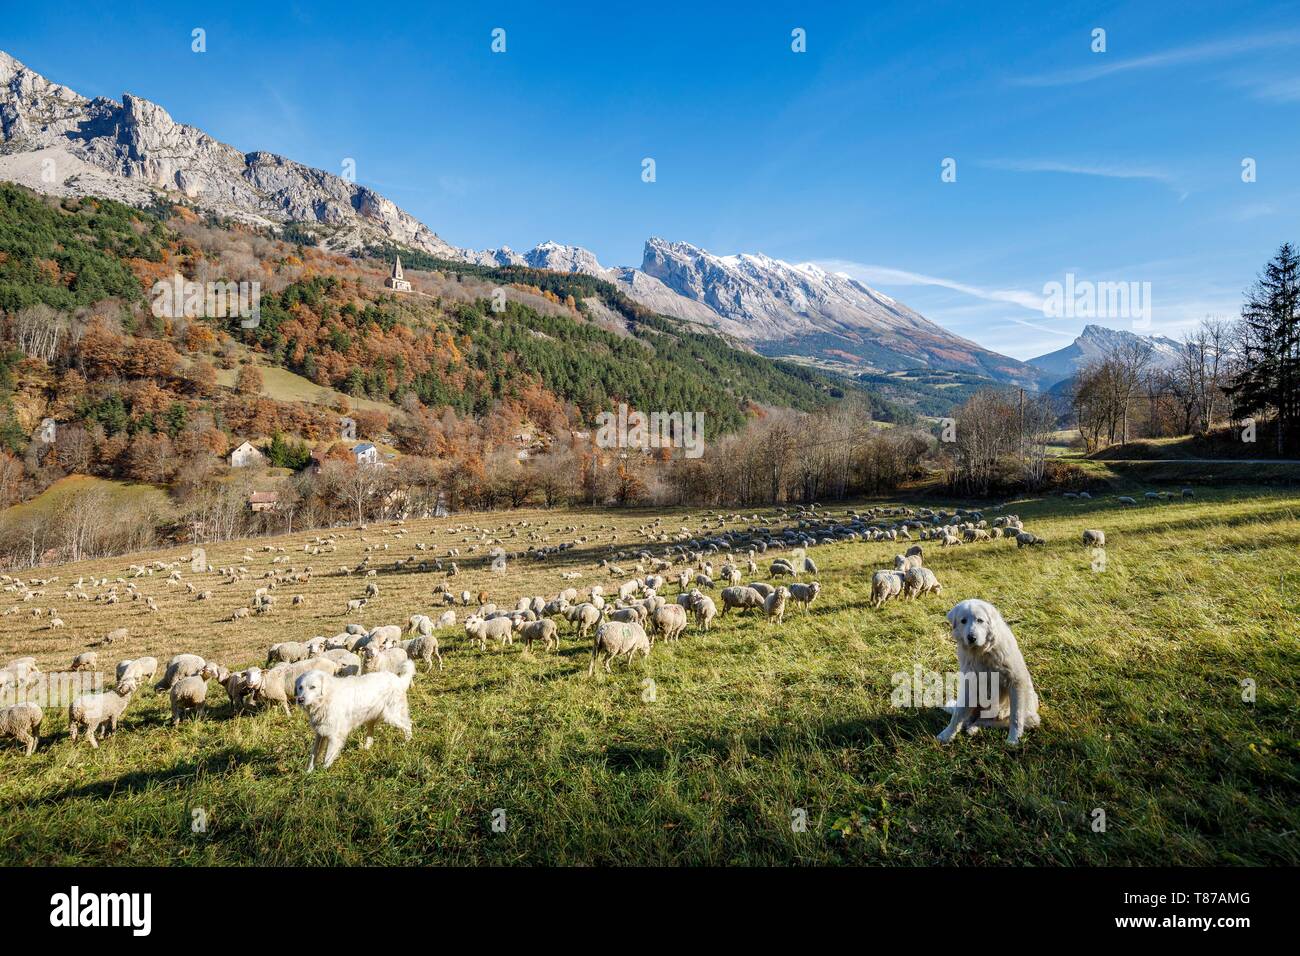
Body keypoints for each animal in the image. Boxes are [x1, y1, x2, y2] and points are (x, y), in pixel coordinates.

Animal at [941, 598, 1040, 749]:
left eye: (980, 620)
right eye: (963, 621)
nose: (971, 637)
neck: (982, 652)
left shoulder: (1016, 682)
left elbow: (1016, 717)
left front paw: (1013, 740)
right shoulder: (971, 685)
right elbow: (957, 716)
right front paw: (946, 735)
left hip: (1027, 714)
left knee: (996, 722)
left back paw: (974, 728)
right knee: (970, 719)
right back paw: (970, 727)